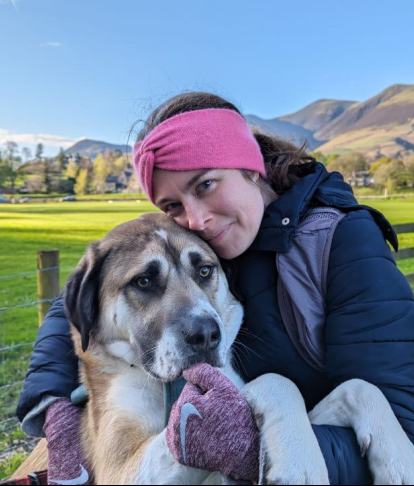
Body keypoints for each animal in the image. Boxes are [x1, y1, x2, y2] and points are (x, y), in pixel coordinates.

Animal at [64, 215, 414, 484]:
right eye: (144, 281)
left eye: (205, 271)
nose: (206, 335)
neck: (170, 387)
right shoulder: (120, 469)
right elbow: (277, 380)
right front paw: (300, 460)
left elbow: (358, 386)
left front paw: (398, 458)